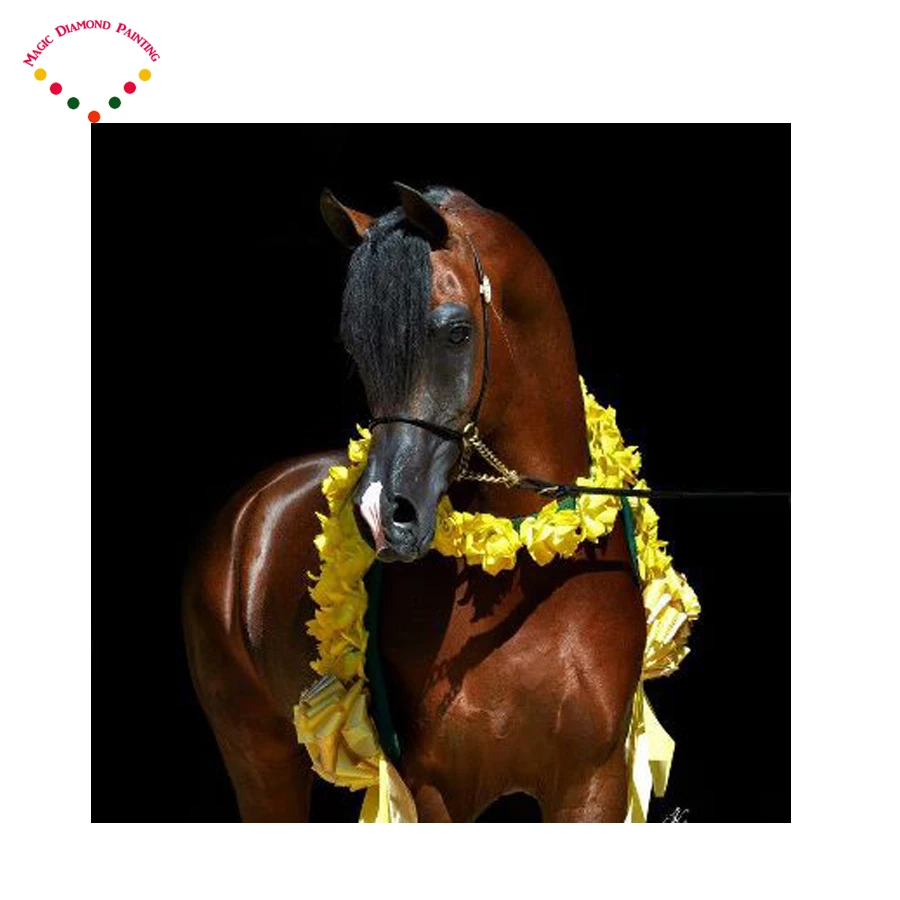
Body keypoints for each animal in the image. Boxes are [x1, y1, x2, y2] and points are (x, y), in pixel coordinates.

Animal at [182, 184, 648, 822]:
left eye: (456, 331)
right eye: (357, 346)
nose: (382, 517)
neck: (528, 572)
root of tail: (250, 506)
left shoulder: (592, 784)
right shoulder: (435, 787)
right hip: (258, 755)